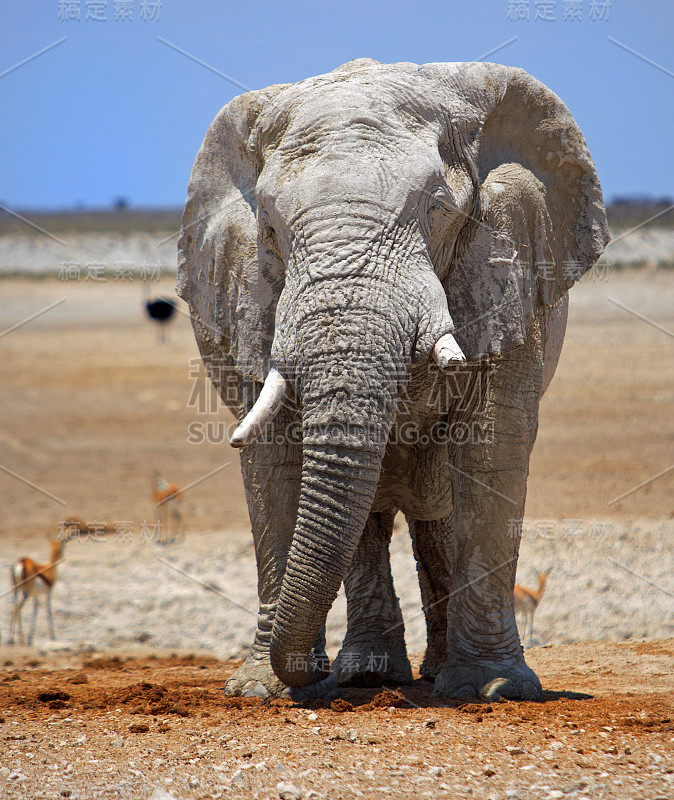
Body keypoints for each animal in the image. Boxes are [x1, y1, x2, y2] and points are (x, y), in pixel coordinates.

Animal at [176, 59, 608, 700]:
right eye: (270, 229)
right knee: (372, 514)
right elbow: (273, 460)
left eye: (436, 208)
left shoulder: (510, 268)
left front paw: (495, 689)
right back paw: (366, 675)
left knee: (438, 515)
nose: (312, 672)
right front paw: (262, 692)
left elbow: (491, 448)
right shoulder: (243, 297)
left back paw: (434, 676)